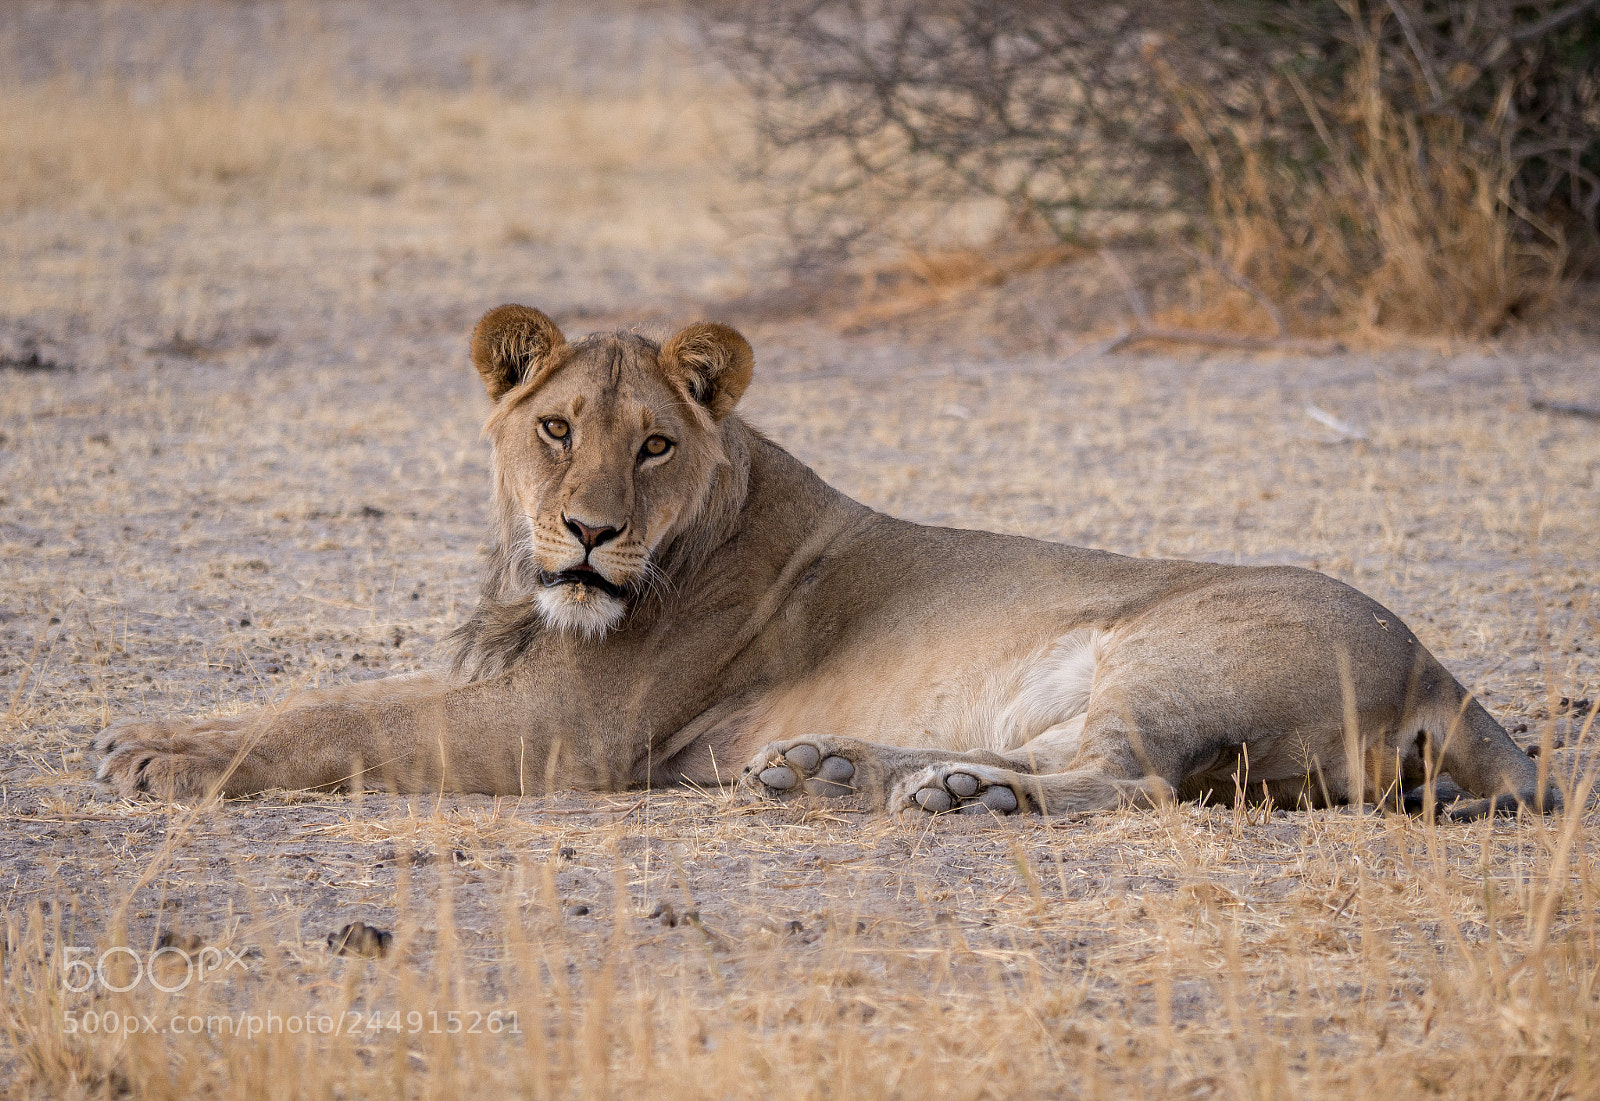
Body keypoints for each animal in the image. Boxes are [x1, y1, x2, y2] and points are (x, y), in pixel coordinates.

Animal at [95, 304, 1558, 821]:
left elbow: (337, 714)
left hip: (1170, 646)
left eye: (653, 446)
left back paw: (958, 798)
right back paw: (849, 772)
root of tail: (1446, 673)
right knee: (1068, 756)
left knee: (1136, 782)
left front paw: (157, 752)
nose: (589, 534)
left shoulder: (565, 733)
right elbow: (343, 693)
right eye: (557, 429)